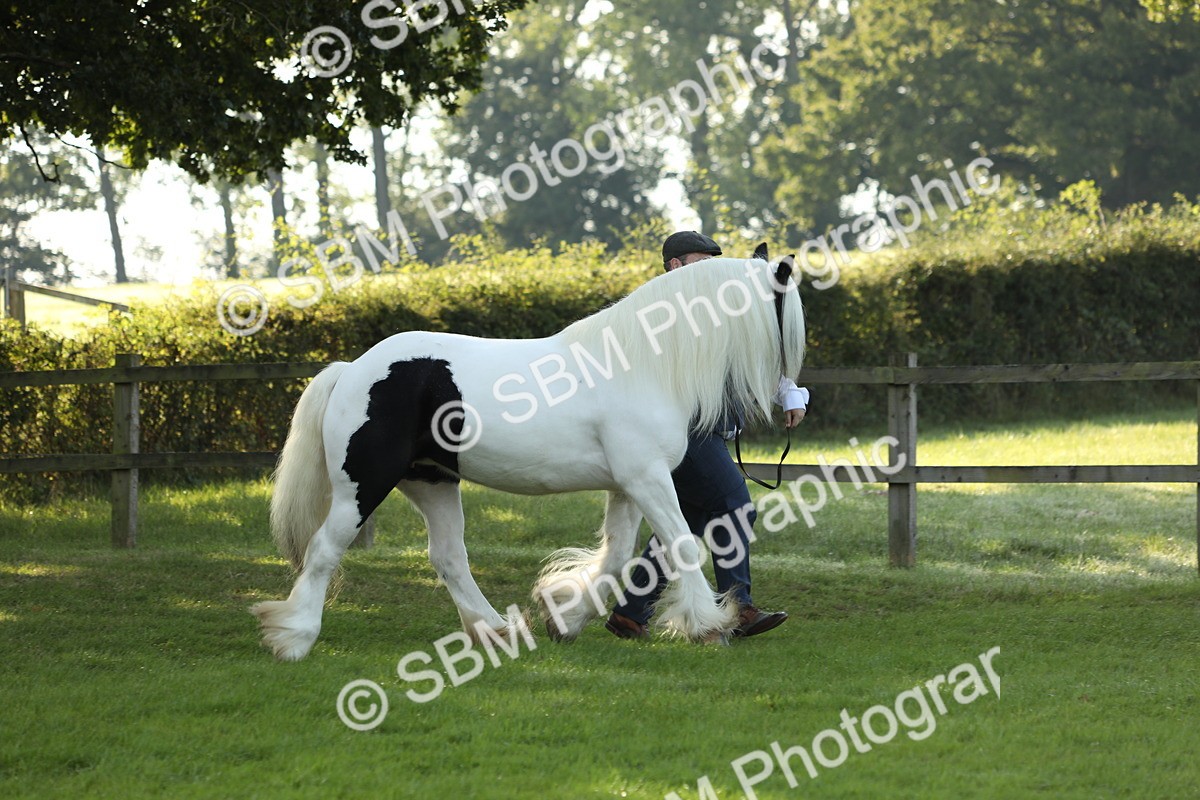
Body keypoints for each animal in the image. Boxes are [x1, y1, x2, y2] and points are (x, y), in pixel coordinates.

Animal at [251, 252, 806, 661]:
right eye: (788, 312)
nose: (793, 398)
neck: (642, 364)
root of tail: (352, 370)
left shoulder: (628, 486)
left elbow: (618, 557)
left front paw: (564, 617)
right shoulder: (647, 479)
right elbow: (683, 546)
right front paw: (708, 625)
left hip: (432, 482)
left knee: (448, 557)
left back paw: (496, 631)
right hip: (362, 486)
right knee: (325, 550)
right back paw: (295, 638)